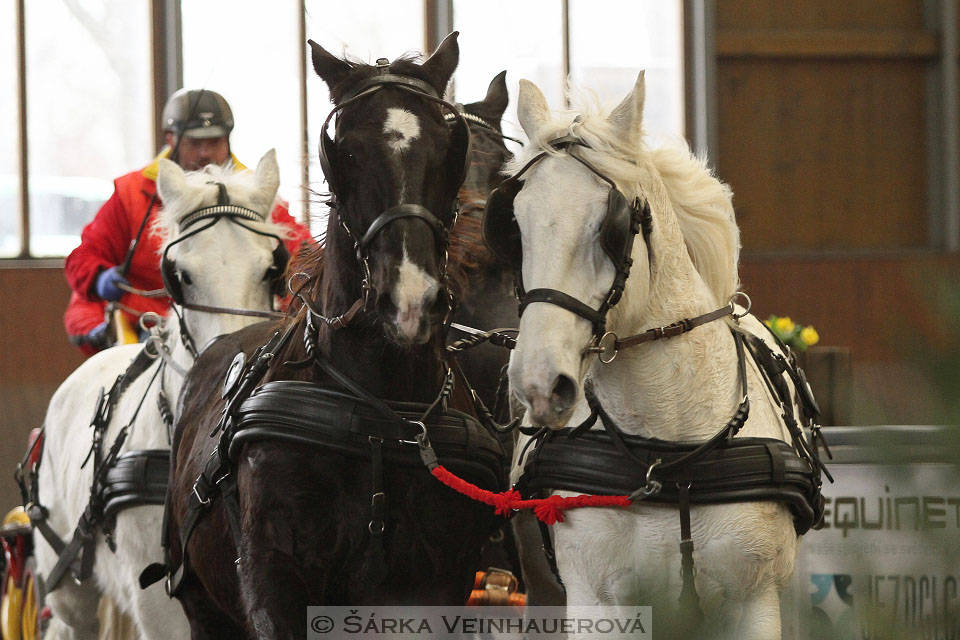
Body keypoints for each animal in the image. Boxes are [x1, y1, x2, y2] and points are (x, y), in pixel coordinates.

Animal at [166, 33, 506, 636]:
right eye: (342, 149)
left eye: (451, 145)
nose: (409, 299)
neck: (381, 418)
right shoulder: (273, 579)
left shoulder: (436, 585)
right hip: (203, 603)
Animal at [492, 72, 828, 636]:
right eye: (513, 226)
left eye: (611, 226)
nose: (538, 382)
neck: (664, 460)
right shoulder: (594, 601)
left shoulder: (756, 600)